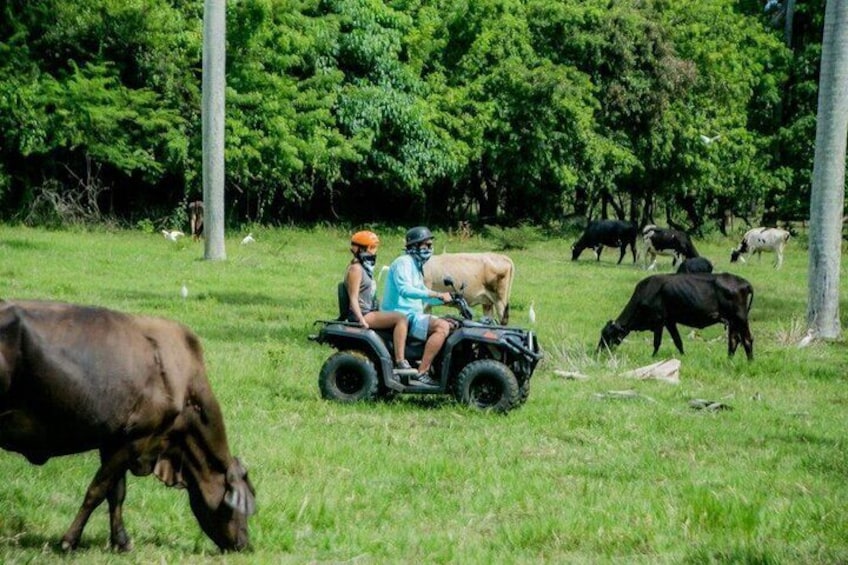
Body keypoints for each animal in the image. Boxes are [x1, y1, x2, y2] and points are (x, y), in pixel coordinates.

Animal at [0, 300, 255, 552]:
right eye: (239, 506)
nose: (244, 544)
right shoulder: (137, 439)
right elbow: (97, 490)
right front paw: (69, 540)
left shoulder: (114, 441)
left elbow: (117, 492)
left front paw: (120, 541)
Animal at [596, 272, 756, 360]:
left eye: (607, 336)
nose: (597, 352)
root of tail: (745, 283)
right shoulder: (670, 321)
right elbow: (678, 341)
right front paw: (683, 356)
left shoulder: (659, 320)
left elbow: (657, 342)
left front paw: (653, 357)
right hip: (732, 321)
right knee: (734, 341)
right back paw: (729, 361)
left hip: (740, 318)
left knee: (747, 340)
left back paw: (750, 363)